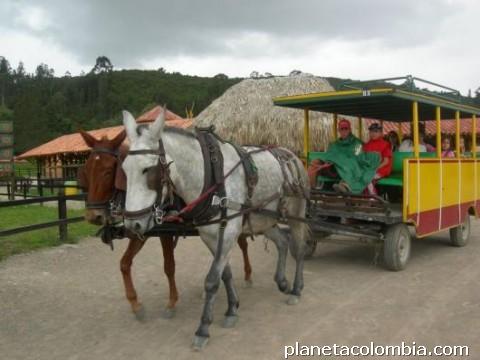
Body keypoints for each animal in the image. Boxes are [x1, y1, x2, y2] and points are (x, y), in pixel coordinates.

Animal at [77, 129, 253, 318]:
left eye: (109, 171)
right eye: (86, 170)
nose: (93, 216)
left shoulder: (165, 231)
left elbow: (169, 266)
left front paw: (171, 303)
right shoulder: (141, 232)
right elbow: (124, 264)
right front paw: (135, 304)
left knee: (242, 244)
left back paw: (248, 275)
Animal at [120, 109, 312, 348]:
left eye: (149, 170)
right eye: (124, 169)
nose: (132, 224)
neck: (211, 175)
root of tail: (291, 155)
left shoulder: (228, 233)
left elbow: (212, 280)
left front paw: (203, 328)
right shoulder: (209, 236)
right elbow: (225, 274)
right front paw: (231, 310)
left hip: (297, 214)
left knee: (299, 247)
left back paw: (295, 289)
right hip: (263, 219)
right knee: (282, 241)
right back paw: (282, 282)